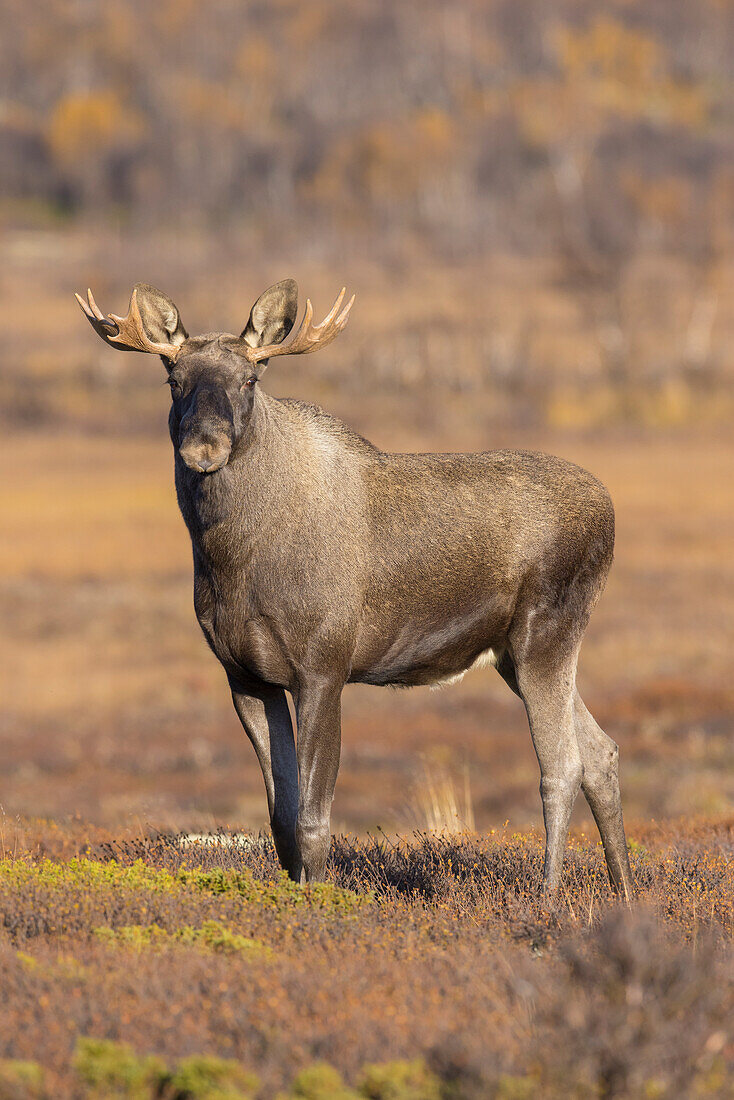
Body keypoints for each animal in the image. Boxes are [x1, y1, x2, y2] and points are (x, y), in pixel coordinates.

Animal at [77, 279, 633, 897]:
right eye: (172, 379)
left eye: (250, 379)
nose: (204, 449)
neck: (229, 556)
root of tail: (609, 511)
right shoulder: (245, 677)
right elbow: (280, 819)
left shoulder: (324, 669)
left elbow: (314, 820)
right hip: (512, 655)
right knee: (601, 752)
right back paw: (626, 893)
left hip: (546, 637)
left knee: (561, 765)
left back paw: (548, 897)